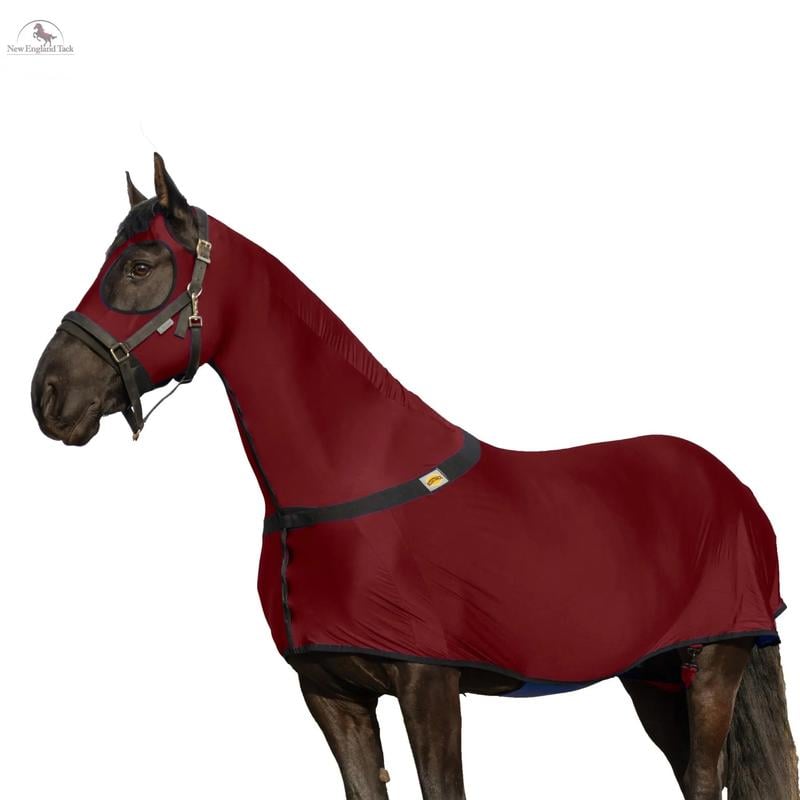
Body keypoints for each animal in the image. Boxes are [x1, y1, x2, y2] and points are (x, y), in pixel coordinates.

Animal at [31, 153, 798, 799]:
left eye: (140, 266)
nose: (48, 395)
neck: (346, 479)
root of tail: (731, 484)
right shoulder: (331, 694)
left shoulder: (429, 684)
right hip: (655, 675)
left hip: (716, 660)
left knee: (704, 778)